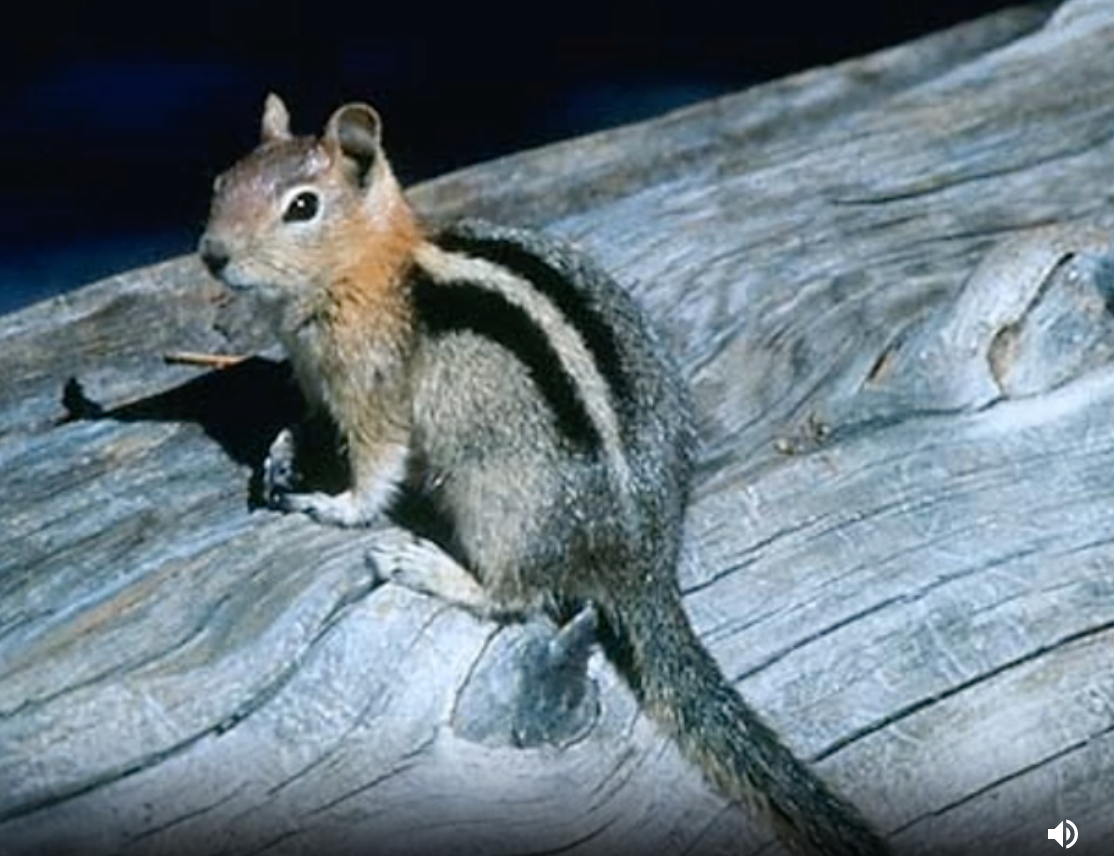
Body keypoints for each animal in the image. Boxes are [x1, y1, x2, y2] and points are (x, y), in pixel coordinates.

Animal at [198, 94, 891, 856]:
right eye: (221, 181)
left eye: (302, 206)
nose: (212, 254)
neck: (374, 267)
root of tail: (642, 559)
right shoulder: (321, 388)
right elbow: (307, 422)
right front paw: (281, 451)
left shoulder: (370, 390)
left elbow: (376, 466)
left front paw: (338, 505)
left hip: (496, 505)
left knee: (516, 597)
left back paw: (423, 563)